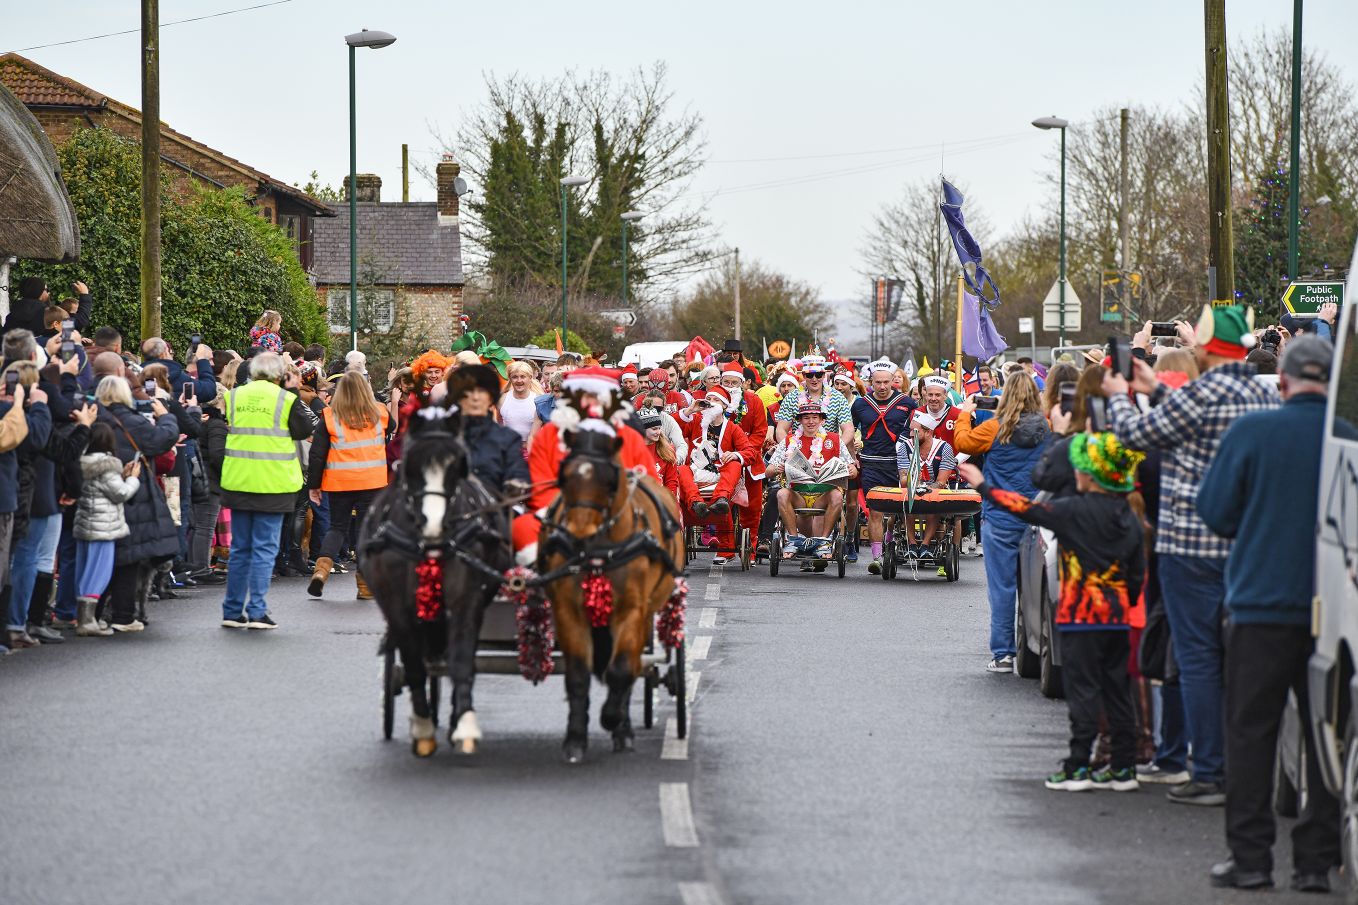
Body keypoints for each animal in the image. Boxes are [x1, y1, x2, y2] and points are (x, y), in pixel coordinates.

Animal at [540, 426, 684, 755]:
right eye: (564, 476)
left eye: (609, 479)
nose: (579, 534)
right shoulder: (568, 610)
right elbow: (578, 673)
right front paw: (575, 739)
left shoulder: (631, 609)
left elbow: (621, 669)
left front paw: (612, 718)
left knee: (633, 665)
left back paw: (623, 727)